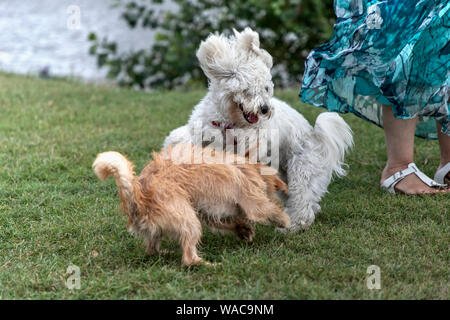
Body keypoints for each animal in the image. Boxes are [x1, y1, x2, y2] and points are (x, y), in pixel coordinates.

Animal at [93, 144, 290, 266]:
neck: (251, 168)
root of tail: (137, 196)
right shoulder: (253, 203)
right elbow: (269, 209)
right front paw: (284, 221)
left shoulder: (208, 213)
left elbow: (225, 223)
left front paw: (243, 229)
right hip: (189, 221)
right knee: (188, 258)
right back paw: (207, 264)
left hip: (163, 228)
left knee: (152, 249)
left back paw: (165, 253)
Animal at [163, 28, 354, 230]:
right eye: (247, 90)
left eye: (266, 89)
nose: (264, 109)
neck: (230, 122)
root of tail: (316, 136)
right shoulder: (203, 132)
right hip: (283, 173)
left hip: (302, 168)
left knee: (303, 198)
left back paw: (293, 226)